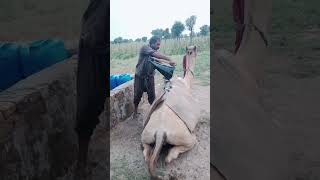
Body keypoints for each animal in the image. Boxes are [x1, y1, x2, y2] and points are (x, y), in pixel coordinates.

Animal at [141, 45, 200, 179]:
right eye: (195, 50)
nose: (195, 48)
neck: (186, 82)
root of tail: (160, 132)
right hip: (183, 137)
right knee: (183, 147)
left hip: (146, 134)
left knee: (145, 150)